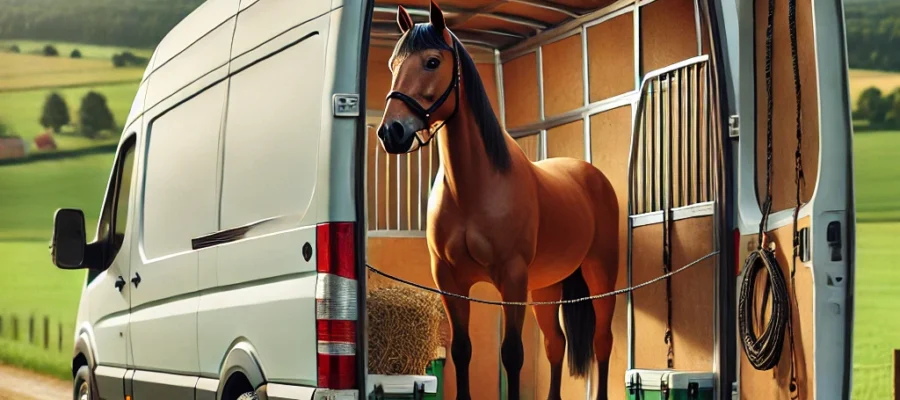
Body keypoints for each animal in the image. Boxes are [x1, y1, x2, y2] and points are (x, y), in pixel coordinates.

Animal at [375, 3, 620, 399]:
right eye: (393, 65)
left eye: (431, 62)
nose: (391, 132)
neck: (473, 189)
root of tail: (591, 174)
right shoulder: (450, 281)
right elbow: (462, 350)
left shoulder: (512, 278)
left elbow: (513, 354)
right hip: (546, 287)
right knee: (555, 344)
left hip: (600, 275)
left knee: (602, 341)